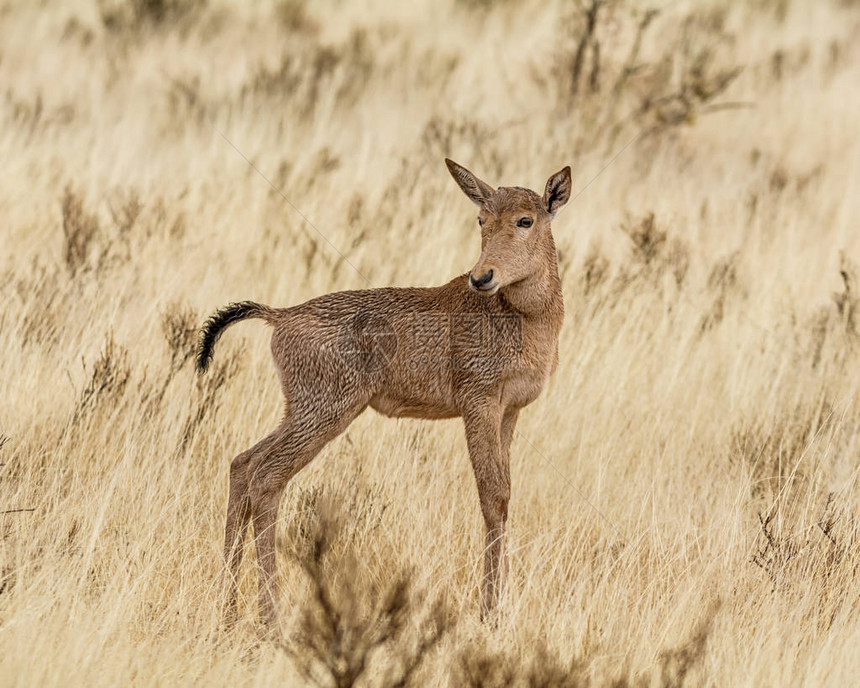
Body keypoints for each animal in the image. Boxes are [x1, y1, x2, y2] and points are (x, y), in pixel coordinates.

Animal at [197, 160, 572, 624]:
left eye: (526, 219)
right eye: (482, 219)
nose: (481, 277)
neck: (519, 314)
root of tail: (280, 316)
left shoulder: (509, 411)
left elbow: (502, 497)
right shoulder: (479, 404)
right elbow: (493, 497)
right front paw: (490, 614)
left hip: (303, 412)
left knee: (243, 464)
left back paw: (228, 609)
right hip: (324, 413)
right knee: (267, 477)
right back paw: (271, 616)